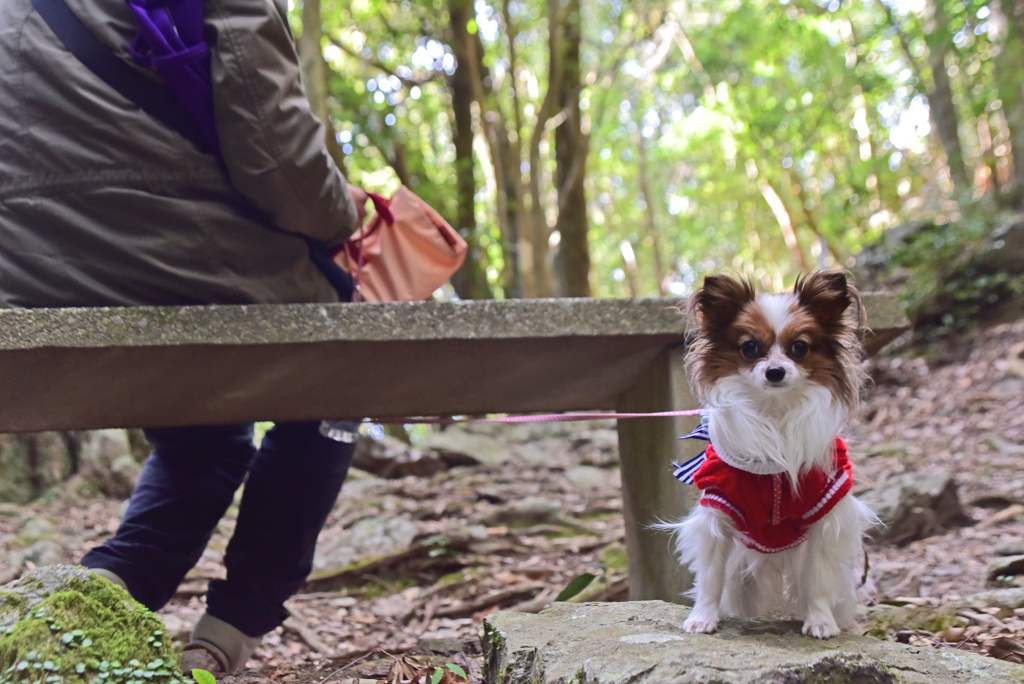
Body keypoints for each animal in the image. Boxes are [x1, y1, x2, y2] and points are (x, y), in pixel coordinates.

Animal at [667, 270, 876, 638]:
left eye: (799, 347)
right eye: (750, 347)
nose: (774, 371)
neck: (775, 413)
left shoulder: (824, 513)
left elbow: (819, 578)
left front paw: (820, 621)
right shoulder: (719, 510)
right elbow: (711, 576)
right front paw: (702, 617)